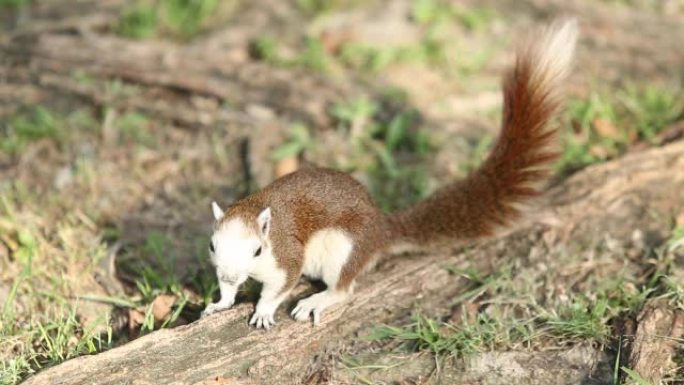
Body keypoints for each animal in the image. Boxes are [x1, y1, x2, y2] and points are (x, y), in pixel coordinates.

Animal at [202, 20, 576, 328]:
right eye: (211, 245)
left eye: (257, 251)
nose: (231, 274)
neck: (257, 212)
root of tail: (381, 231)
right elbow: (227, 290)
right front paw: (220, 302)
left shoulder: (286, 256)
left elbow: (278, 288)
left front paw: (264, 311)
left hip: (343, 249)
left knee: (344, 288)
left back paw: (318, 299)